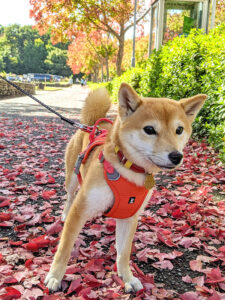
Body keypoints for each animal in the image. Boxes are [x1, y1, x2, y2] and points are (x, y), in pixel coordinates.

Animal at [44, 82, 207, 292]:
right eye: (149, 129)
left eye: (179, 130)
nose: (176, 156)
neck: (129, 169)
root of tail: (90, 125)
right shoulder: (80, 211)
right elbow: (64, 249)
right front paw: (55, 276)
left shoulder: (129, 216)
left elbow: (123, 253)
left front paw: (127, 277)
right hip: (72, 178)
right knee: (70, 196)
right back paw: (64, 213)